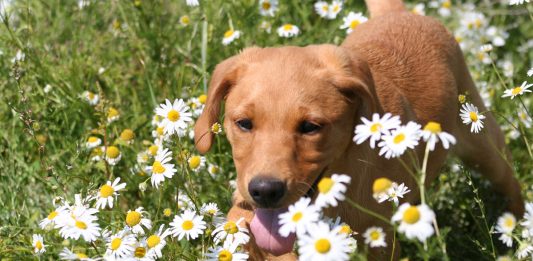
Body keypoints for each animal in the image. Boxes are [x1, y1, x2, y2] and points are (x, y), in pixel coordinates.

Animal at [192, 0, 524, 256]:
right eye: (244, 124)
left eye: (311, 127)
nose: (264, 191)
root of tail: (400, 14)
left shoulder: (380, 242)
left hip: (482, 142)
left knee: (509, 179)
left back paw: (517, 229)